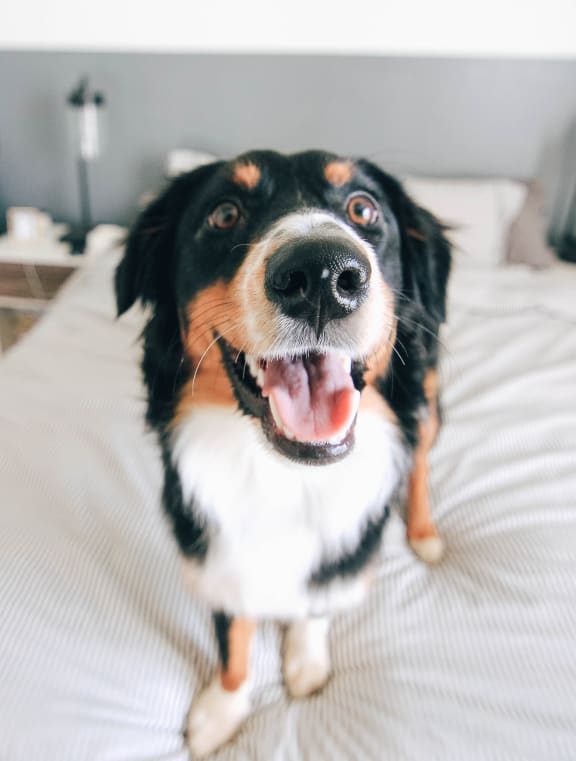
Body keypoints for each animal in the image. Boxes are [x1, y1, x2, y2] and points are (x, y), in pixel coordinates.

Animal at [115, 148, 452, 756]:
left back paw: (424, 534)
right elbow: (233, 638)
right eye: (224, 213)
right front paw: (223, 710)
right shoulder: (214, 550)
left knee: (418, 457)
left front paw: (304, 660)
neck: (284, 474)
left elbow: (315, 600)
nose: (322, 276)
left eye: (363, 208)